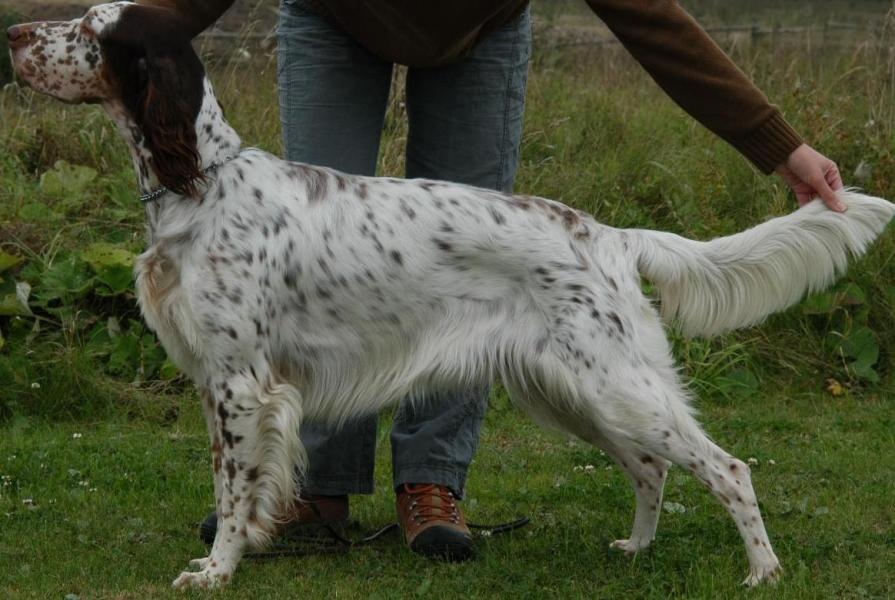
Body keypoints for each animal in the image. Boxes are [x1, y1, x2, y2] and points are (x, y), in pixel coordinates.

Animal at [8, 0, 895, 592]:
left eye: (90, 30)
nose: (12, 34)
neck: (202, 183)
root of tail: (608, 235)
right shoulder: (218, 384)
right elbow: (240, 482)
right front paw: (241, 549)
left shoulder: (240, 383)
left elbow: (233, 490)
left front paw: (217, 569)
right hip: (576, 392)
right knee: (651, 470)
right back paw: (637, 550)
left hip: (616, 385)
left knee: (727, 467)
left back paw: (763, 571)